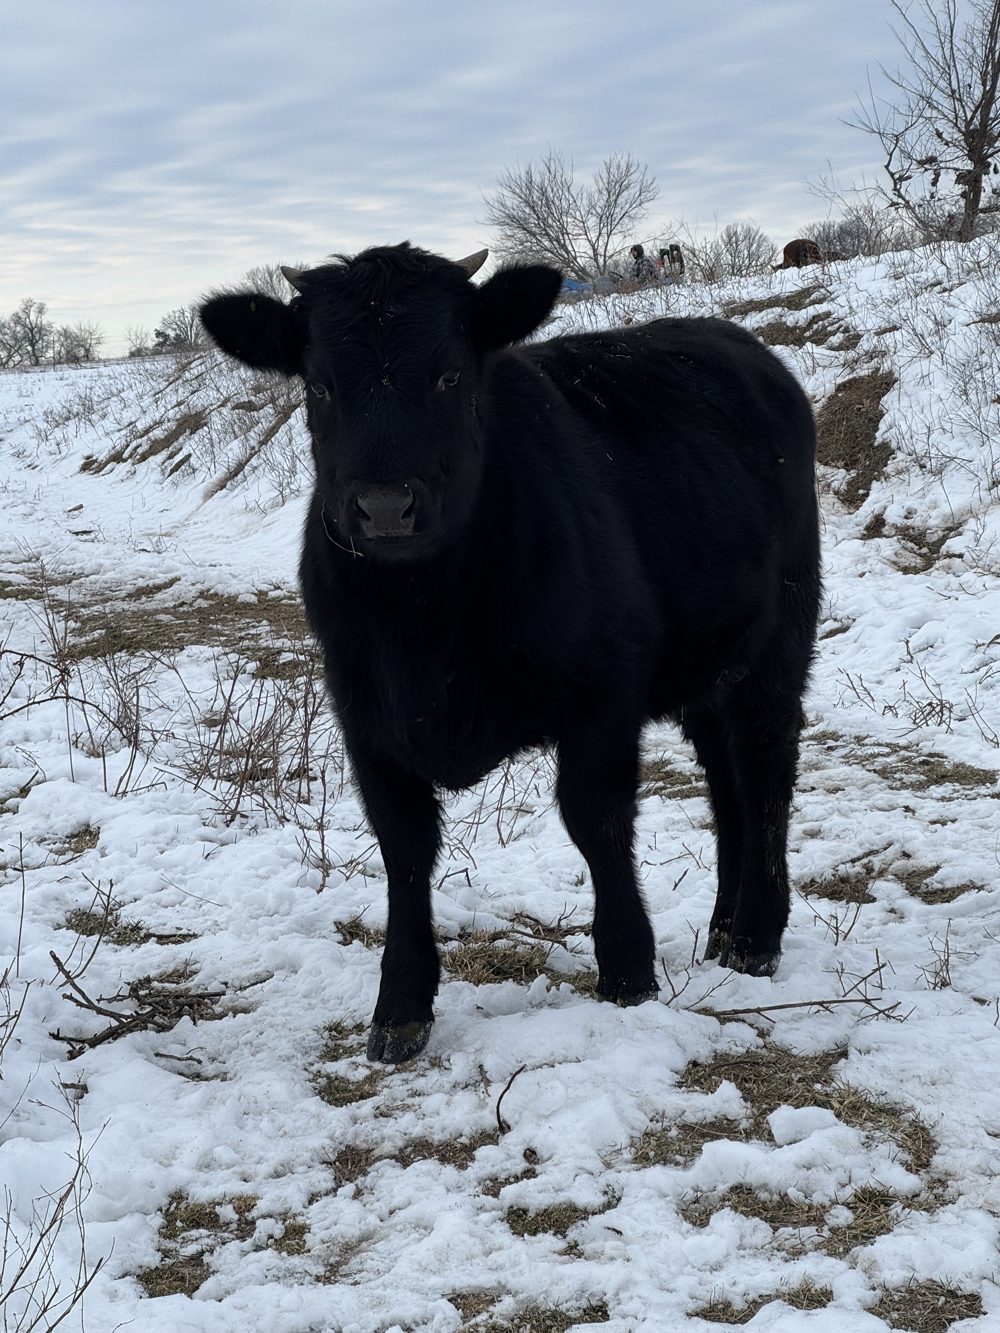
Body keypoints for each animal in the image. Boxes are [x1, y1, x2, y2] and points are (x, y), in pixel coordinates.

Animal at [200, 242, 820, 1064]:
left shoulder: (603, 690)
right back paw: (721, 928)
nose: (385, 505)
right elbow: (403, 848)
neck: (423, 623)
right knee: (727, 785)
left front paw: (628, 969)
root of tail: (740, 345)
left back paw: (755, 935)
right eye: (321, 383)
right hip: (707, 666)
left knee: (765, 772)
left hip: (779, 642)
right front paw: (399, 1006)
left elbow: (595, 819)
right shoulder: (364, 714)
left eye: (450, 374)